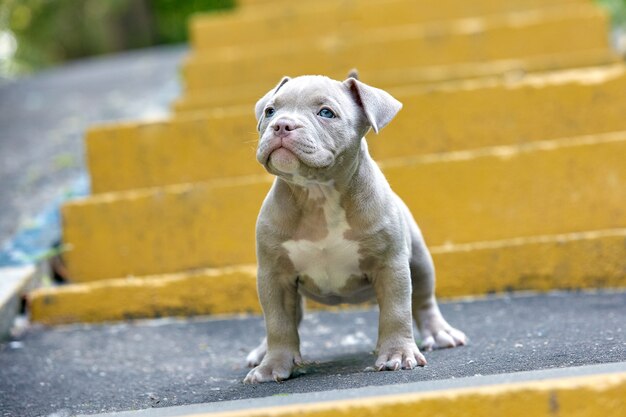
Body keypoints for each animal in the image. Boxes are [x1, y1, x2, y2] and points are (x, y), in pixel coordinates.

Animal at [244, 75, 464, 384]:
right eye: (270, 111)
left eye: (326, 113)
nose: (282, 125)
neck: (317, 194)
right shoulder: (274, 275)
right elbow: (277, 323)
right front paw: (272, 365)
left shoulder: (390, 265)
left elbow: (396, 311)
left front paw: (397, 354)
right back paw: (261, 352)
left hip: (420, 260)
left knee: (423, 299)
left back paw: (440, 333)